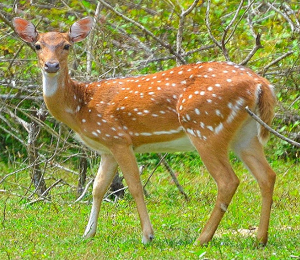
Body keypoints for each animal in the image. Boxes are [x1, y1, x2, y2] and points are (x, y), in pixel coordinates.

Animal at [13, 16, 276, 246]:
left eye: (66, 45)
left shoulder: (119, 139)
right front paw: (87, 234)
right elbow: (98, 189)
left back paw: (202, 239)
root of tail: (261, 84)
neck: (80, 107)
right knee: (267, 175)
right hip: (245, 134)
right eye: (37, 45)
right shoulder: (106, 148)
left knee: (228, 180)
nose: (51, 65)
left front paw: (148, 236)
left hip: (205, 127)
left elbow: (134, 187)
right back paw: (260, 239)